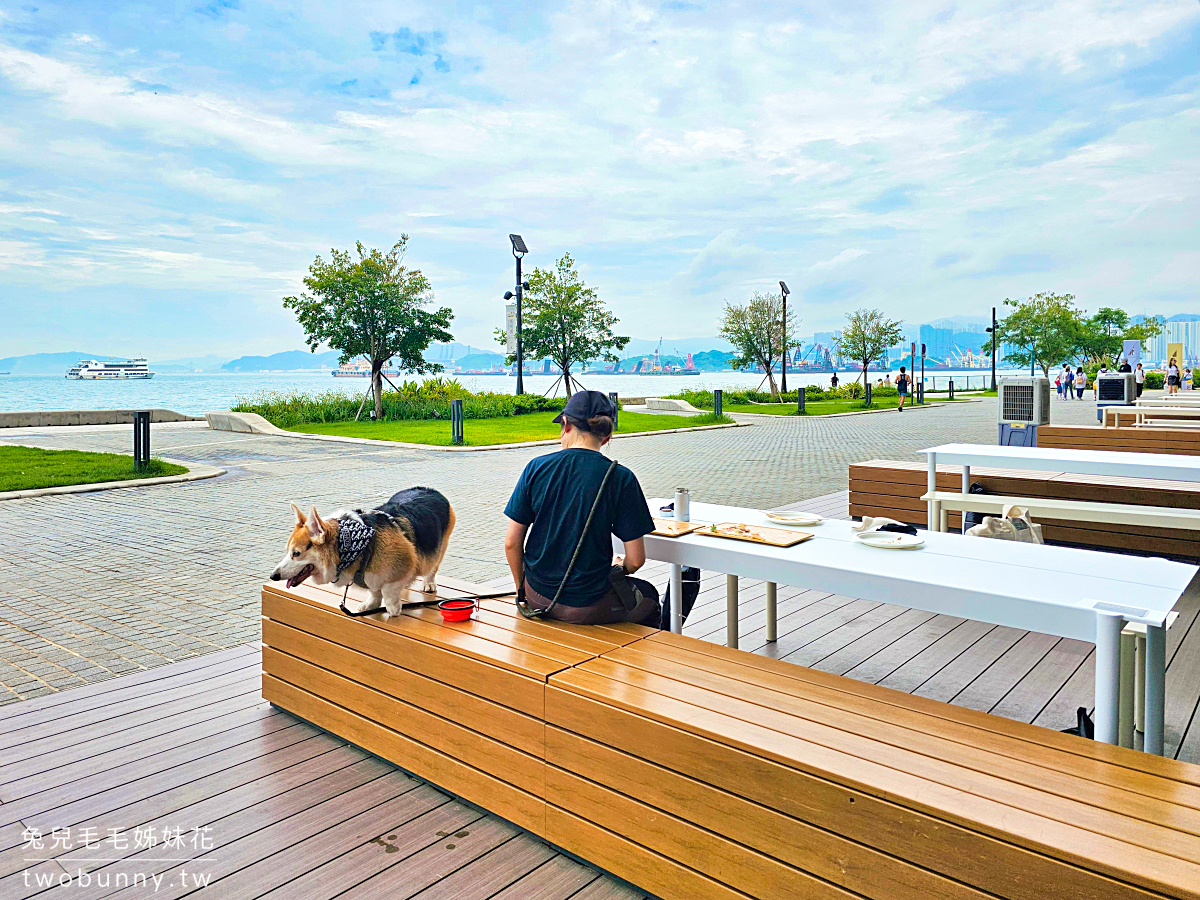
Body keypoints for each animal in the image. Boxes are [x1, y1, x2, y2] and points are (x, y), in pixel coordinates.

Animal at [271, 489, 453, 619]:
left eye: (296, 553)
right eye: (288, 551)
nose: (273, 576)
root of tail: (432, 491)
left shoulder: (405, 563)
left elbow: (388, 591)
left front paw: (393, 608)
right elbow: (374, 591)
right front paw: (371, 604)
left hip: (440, 548)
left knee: (432, 568)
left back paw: (428, 583)